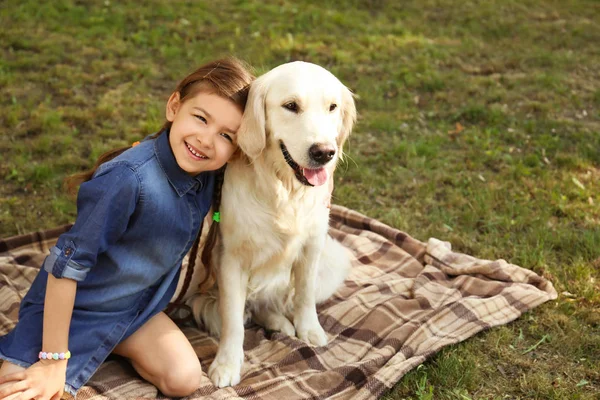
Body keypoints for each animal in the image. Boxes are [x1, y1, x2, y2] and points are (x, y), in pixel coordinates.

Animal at [190, 61, 354, 388]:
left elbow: (304, 294)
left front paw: (309, 329)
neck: (283, 190)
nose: (324, 153)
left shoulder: (313, 246)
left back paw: (281, 323)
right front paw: (227, 364)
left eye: (332, 107)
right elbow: (232, 319)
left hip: (335, 259)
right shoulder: (230, 259)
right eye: (291, 106)